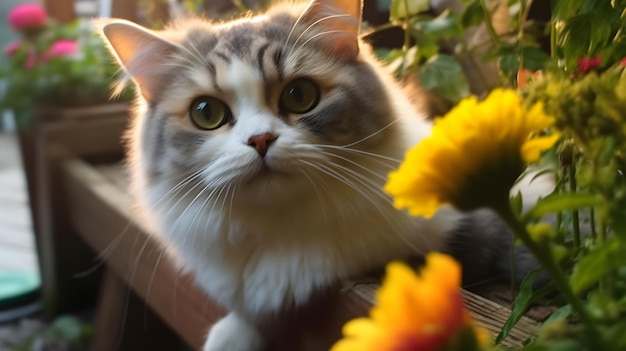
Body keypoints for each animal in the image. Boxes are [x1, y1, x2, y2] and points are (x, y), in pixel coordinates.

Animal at [100, 1, 540, 350]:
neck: (282, 229)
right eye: (206, 113)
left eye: (299, 96)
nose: (260, 140)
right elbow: (251, 313)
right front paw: (232, 335)